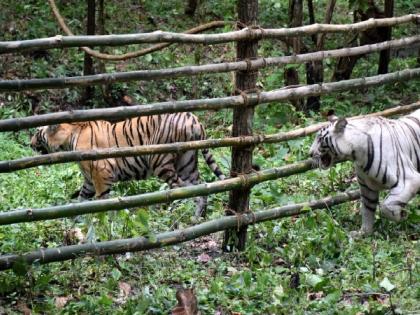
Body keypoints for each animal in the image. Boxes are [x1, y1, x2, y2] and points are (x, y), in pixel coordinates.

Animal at [30, 111, 225, 217]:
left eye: (36, 133)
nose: (29, 143)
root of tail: (194, 119)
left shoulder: (101, 173)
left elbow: (103, 200)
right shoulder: (89, 179)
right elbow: (82, 199)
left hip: (160, 161)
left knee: (179, 188)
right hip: (187, 163)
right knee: (200, 187)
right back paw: (197, 218)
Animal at [308, 110, 420, 238]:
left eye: (320, 139)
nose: (309, 153)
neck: (357, 154)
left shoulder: (410, 180)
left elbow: (385, 208)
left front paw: (402, 215)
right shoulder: (367, 187)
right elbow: (367, 209)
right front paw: (363, 233)